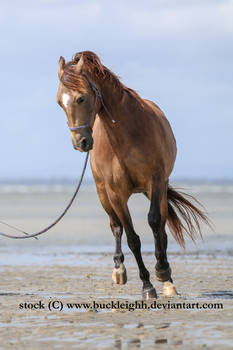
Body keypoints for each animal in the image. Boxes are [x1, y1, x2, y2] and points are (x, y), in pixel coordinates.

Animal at [57, 50, 209, 300]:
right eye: (60, 102)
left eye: (81, 98)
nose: (80, 143)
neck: (127, 133)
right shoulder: (115, 194)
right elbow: (131, 238)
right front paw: (147, 286)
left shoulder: (155, 182)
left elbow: (155, 223)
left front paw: (163, 273)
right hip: (103, 195)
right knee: (115, 226)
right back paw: (119, 270)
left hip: (156, 191)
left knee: (161, 229)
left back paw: (167, 278)